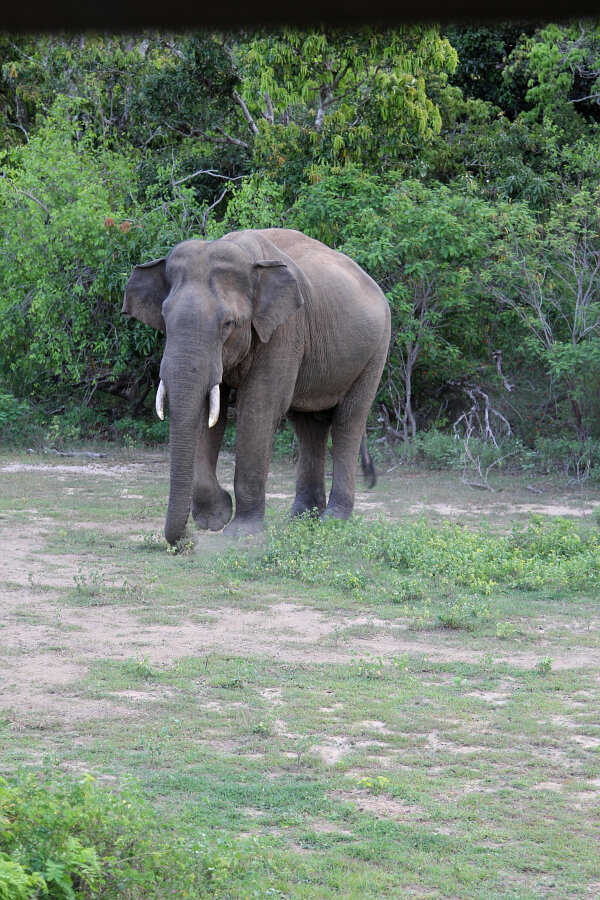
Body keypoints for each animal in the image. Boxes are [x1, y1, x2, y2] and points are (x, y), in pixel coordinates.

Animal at [122, 228, 391, 543]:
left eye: (228, 323)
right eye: (164, 319)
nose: (186, 541)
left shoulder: (285, 329)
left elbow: (258, 408)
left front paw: (241, 533)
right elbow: (209, 411)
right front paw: (214, 519)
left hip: (376, 350)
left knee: (348, 421)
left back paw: (331, 521)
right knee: (309, 426)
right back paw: (300, 521)